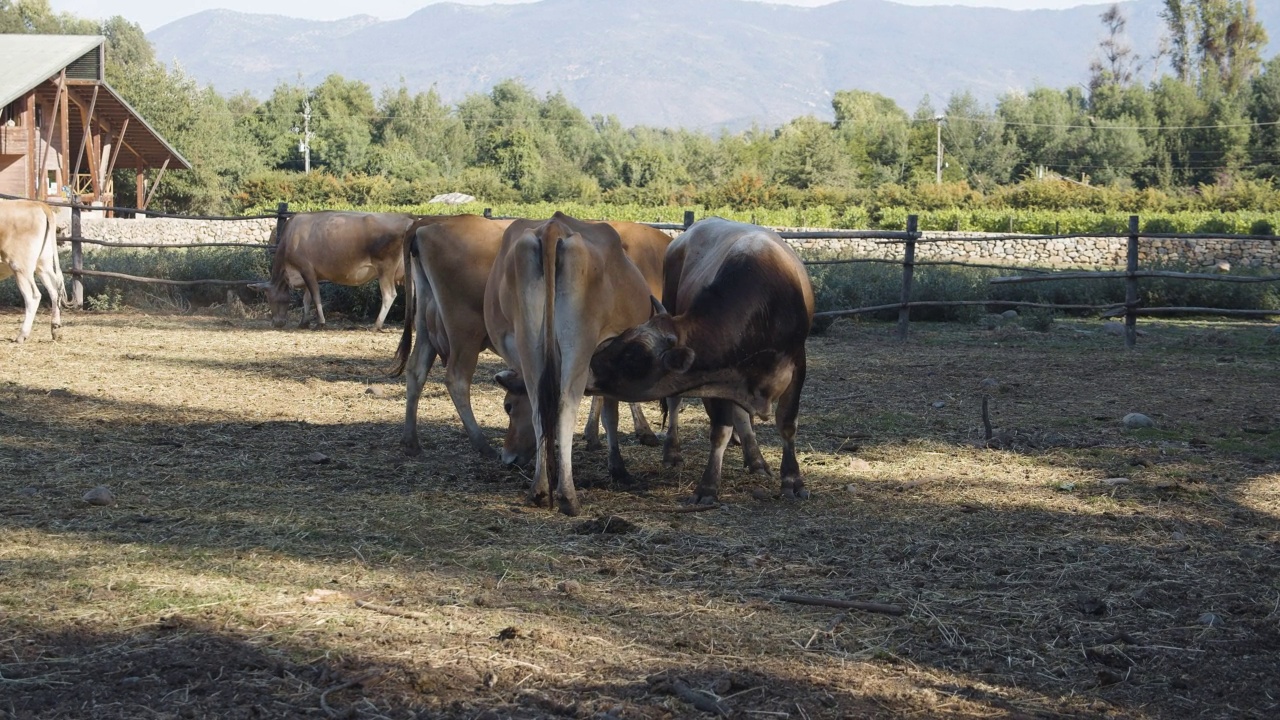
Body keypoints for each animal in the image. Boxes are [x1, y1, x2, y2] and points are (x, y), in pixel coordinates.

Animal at [0, 196, 68, 340]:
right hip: (43, 264)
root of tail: (39, 204)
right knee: (54, 289)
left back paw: (22, 334)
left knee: (33, 296)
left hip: (21, 267)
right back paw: (55, 327)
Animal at [248, 208, 409, 330]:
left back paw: (377, 325)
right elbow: (306, 298)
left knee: (389, 294)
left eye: (269, 298)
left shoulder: (306, 269)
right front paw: (304, 322)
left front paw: (320, 322)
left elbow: (315, 297)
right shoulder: (309, 273)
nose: (277, 323)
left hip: (386, 269)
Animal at [486, 210, 655, 512]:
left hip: (530, 341)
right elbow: (610, 414)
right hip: (579, 343)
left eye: (507, 407)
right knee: (566, 405)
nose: (507, 458)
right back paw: (567, 495)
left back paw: (540, 490)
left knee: (541, 404)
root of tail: (553, 228)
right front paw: (618, 468)